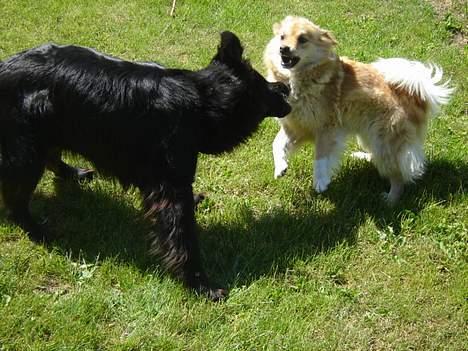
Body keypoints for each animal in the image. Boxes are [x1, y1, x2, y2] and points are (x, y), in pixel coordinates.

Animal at [0, 32, 290, 300]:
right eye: (263, 83)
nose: (285, 87)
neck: (200, 101)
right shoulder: (171, 189)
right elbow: (183, 239)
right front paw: (200, 284)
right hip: (27, 151)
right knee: (16, 201)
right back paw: (39, 231)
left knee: (51, 158)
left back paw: (73, 173)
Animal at [266, 15, 454, 204]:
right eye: (282, 37)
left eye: (302, 39)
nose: (283, 48)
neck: (300, 78)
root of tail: (416, 96)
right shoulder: (295, 127)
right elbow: (276, 144)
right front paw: (280, 167)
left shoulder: (327, 128)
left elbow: (321, 157)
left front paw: (320, 181)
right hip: (368, 135)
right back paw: (363, 157)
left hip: (383, 140)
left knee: (398, 175)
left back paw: (390, 200)